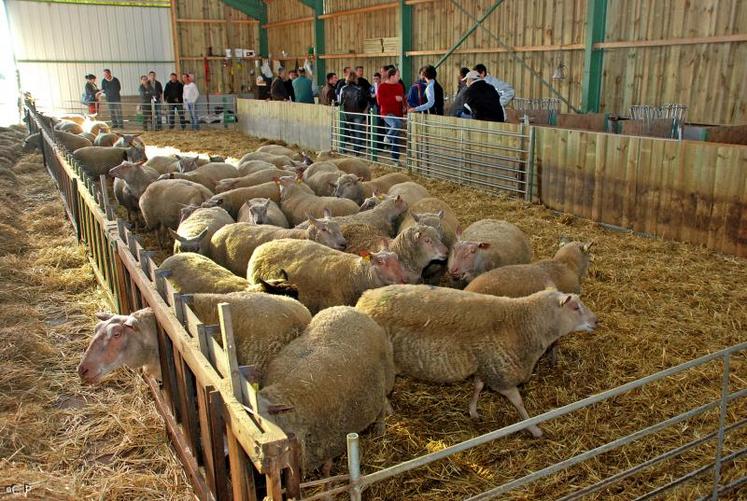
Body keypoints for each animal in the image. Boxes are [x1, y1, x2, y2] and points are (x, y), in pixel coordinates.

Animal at [260, 304, 394, 472]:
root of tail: (349, 308)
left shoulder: (331, 440)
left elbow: (326, 468)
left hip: (384, 379)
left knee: (381, 408)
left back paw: (380, 430)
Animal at [358, 286, 600, 438]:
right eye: (575, 308)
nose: (596, 321)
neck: (523, 323)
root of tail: (364, 300)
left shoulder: (486, 365)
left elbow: (477, 387)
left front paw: (473, 411)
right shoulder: (501, 374)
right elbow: (519, 402)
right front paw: (534, 429)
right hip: (381, 365)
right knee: (382, 391)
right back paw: (387, 413)